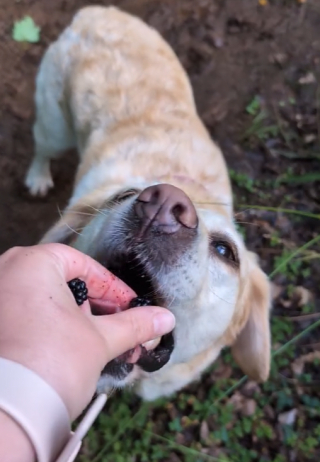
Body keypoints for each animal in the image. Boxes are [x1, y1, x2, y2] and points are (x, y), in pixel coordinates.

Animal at [23, 5, 272, 400]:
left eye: (225, 251)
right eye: (122, 196)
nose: (162, 205)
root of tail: (98, 11)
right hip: (54, 126)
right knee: (42, 148)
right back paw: (37, 177)